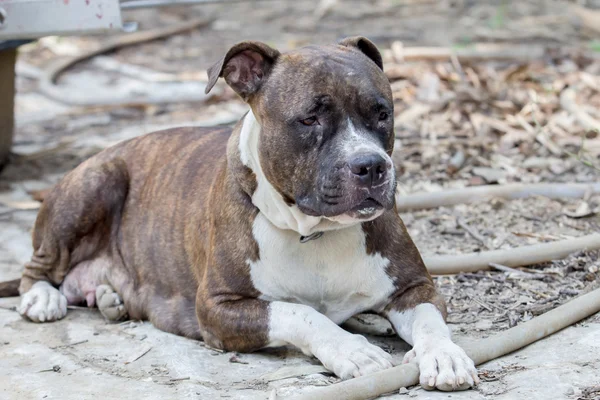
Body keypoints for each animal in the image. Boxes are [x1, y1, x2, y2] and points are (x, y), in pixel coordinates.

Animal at [8, 36, 478, 390]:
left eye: (382, 113)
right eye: (310, 119)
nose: (372, 166)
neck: (315, 232)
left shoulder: (414, 287)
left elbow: (431, 322)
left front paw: (445, 355)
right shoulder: (219, 307)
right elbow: (299, 312)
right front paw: (351, 349)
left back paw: (109, 297)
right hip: (97, 180)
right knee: (40, 265)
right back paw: (43, 297)